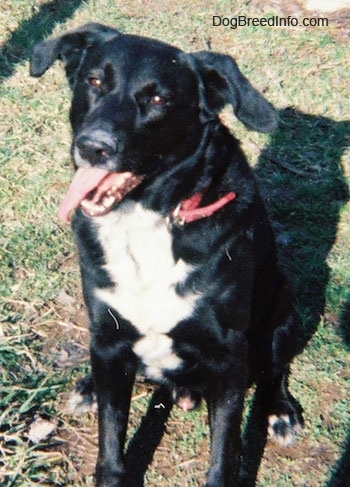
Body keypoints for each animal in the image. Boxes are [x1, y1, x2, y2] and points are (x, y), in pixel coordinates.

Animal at [30, 23, 304, 487]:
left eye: (158, 99)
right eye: (94, 82)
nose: (93, 147)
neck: (147, 219)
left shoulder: (227, 356)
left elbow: (224, 453)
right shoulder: (109, 337)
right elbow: (110, 442)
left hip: (283, 307)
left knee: (274, 369)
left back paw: (282, 411)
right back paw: (88, 386)